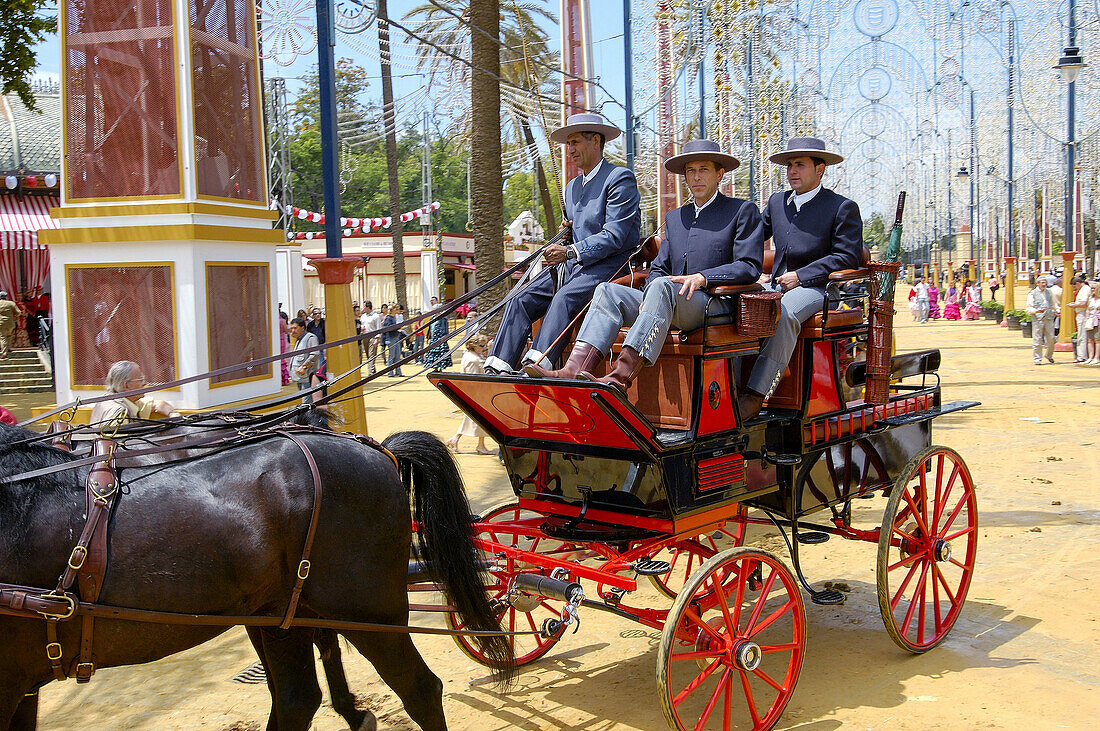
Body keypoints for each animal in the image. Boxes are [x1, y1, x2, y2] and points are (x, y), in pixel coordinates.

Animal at [0, 422, 512, 729]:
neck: (19, 502)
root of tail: (378, 451)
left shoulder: (10, 679)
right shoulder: (22, 680)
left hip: (368, 611)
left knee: (419, 689)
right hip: (284, 614)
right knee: (297, 698)